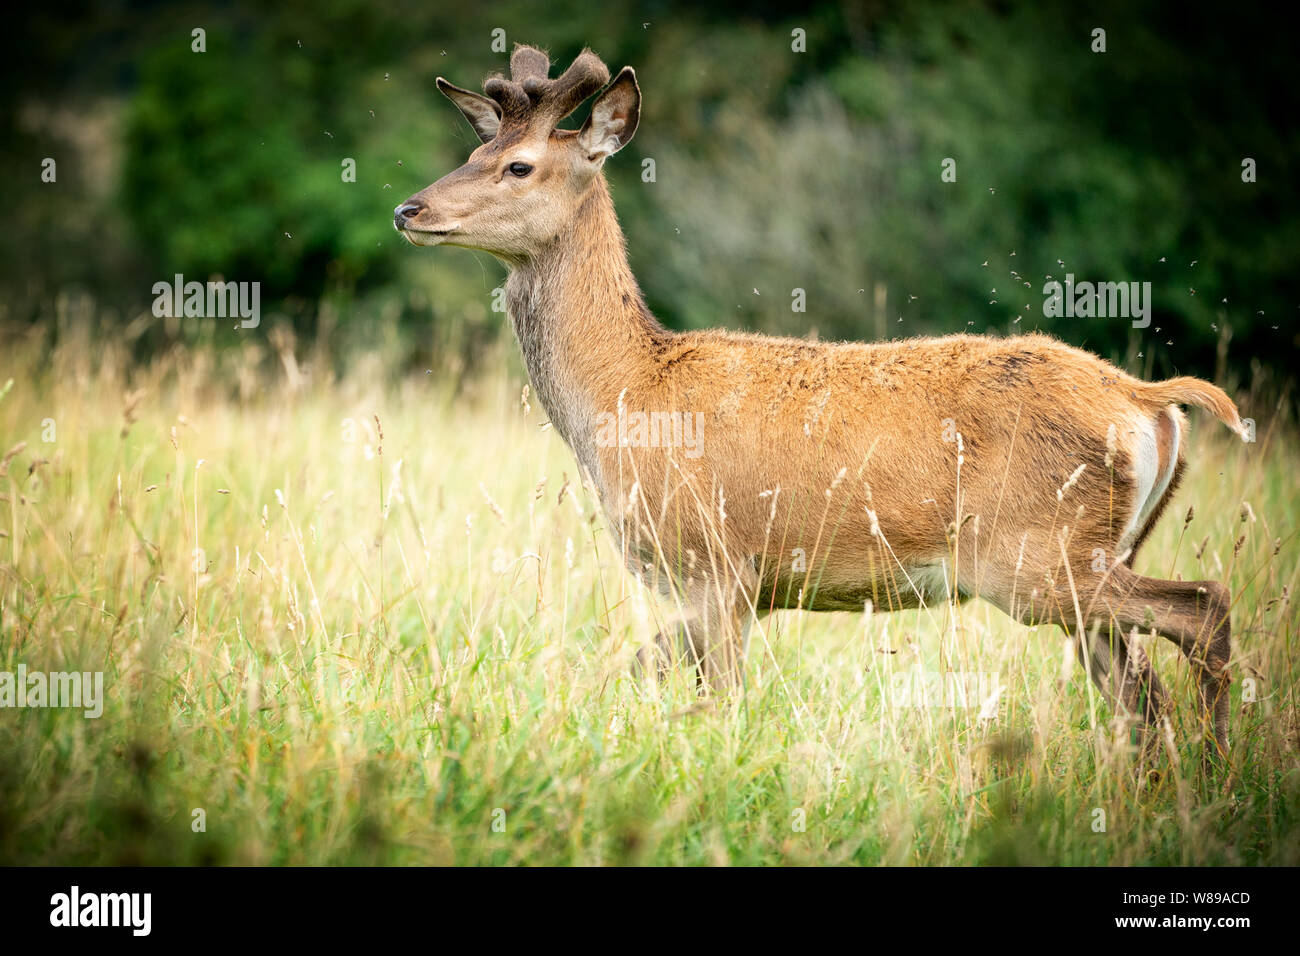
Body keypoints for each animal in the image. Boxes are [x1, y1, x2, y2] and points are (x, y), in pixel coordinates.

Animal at [392, 42, 1237, 770]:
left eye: (519, 165)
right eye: (472, 153)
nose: (410, 209)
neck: (623, 393)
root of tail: (1148, 401)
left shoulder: (715, 562)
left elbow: (713, 702)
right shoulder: (736, 590)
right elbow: (629, 670)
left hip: (1035, 552)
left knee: (1204, 609)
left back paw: (1220, 772)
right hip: (1088, 559)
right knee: (1141, 695)